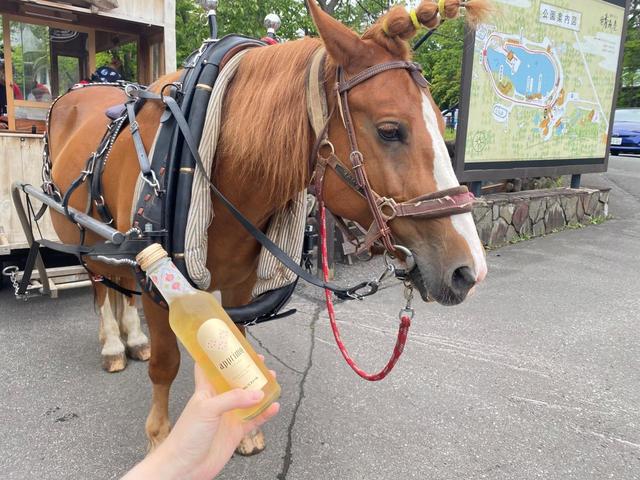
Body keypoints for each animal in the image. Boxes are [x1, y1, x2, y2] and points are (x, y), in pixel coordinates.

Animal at [47, 0, 491, 455]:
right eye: (389, 130)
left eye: (441, 121)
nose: (469, 271)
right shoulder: (158, 279)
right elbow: (166, 365)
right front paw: (160, 438)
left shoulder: (240, 283)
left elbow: (237, 336)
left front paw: (244, 427)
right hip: (83, 237)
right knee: (102, 287)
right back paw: (114, 345)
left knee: (119, 285)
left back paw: (133, 339)